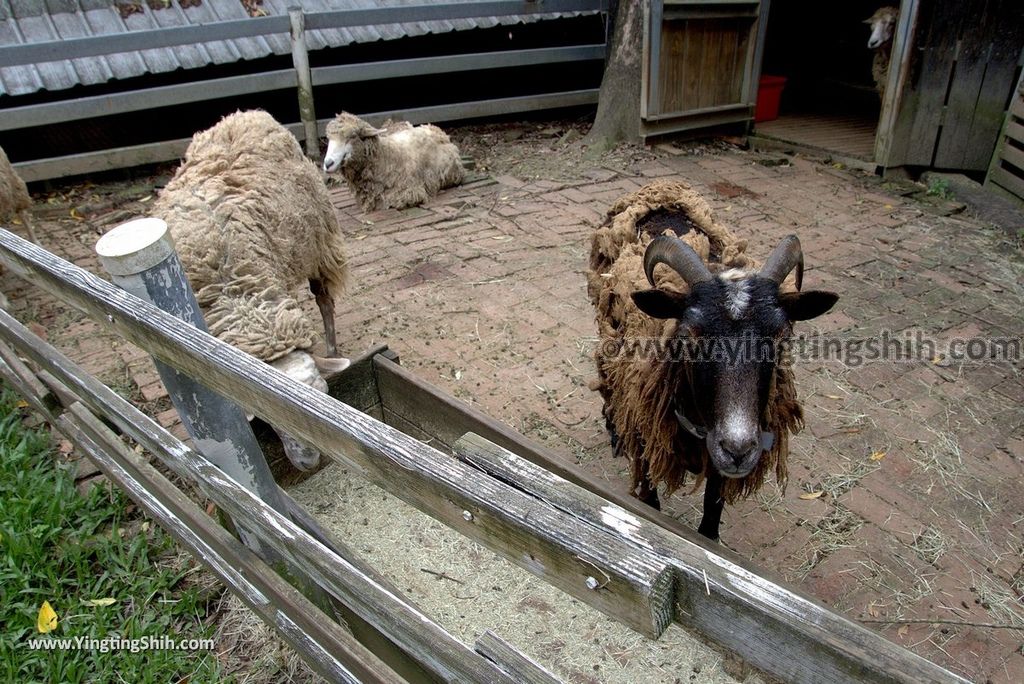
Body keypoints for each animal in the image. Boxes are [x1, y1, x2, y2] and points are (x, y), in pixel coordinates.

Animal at [153, 111, 350, 471]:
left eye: (327, 393)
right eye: (268, 417)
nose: (309, 463)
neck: (238, 300)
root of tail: (246, 114)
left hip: (320, 241)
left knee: (324, 300)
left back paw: (330, 347)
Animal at [323, 111, 464, 210]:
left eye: (352, 136)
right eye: (329, 138)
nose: (328, 163)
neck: (386, 156)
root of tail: (440, 132)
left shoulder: (411, 192)